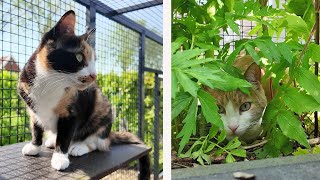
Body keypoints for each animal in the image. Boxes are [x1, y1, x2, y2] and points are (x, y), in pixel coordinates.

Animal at [16, 10, 149, 176]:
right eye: (79, 57)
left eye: (94, 60)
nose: (94, 75)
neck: (49, 83)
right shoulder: (32, 108)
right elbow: (36, 128)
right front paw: (34, 146)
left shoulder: (72, 113)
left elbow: (65, 136)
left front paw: (60, 158)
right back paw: (52, 140)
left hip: (102, 109)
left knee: (97, 144)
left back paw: (79, 147)